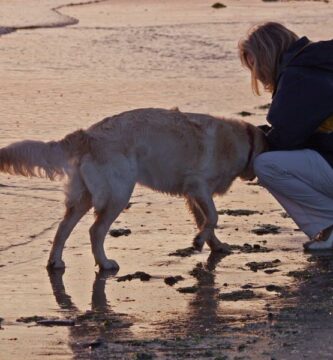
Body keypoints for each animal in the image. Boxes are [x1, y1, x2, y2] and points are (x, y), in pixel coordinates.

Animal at [0, 107, 264, 270]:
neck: (241, 142)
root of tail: (87, 135)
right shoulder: (198, 185)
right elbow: (213, 216)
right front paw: (201, 240)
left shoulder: (192, 194)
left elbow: (204, 219)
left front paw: (212, 244)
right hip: (119, 192)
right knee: (95, 230)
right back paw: (105, 264)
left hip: (84, 195)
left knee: (63, 228)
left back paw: (55, 262)